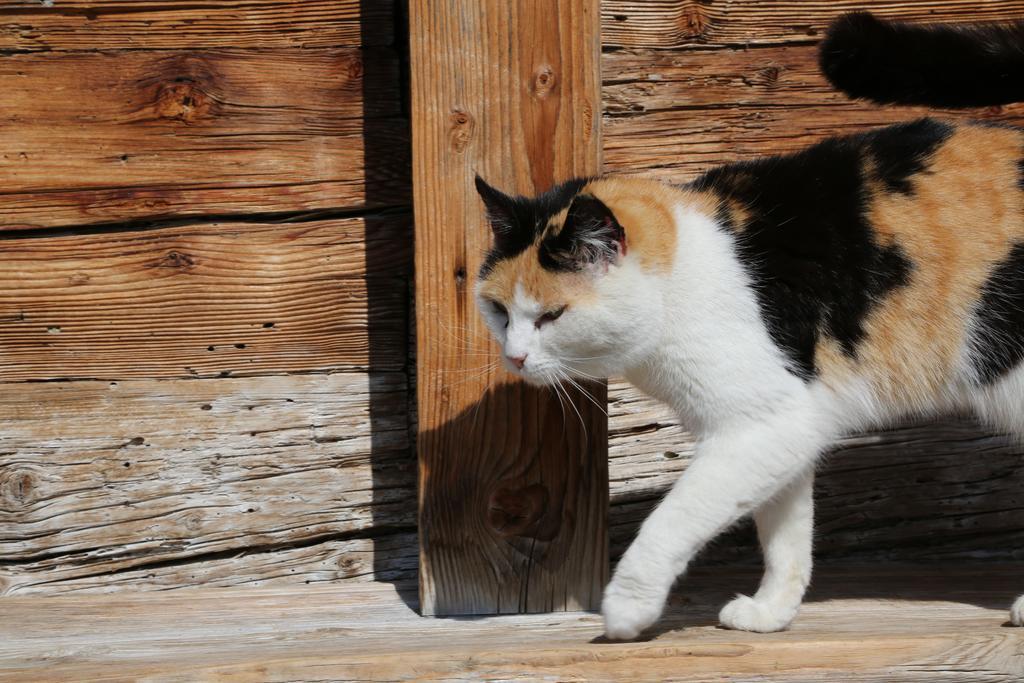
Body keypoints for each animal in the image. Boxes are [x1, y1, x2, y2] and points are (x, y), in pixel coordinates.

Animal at [475, 12, 1024, 643]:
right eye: (500, 311)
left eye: (551, 316)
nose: (514, 357)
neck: (682, 275)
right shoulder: (789, 422)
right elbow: (786, 532)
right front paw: (771, 611)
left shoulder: (756, 427)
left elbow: (675, 517)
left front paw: (627, 609)